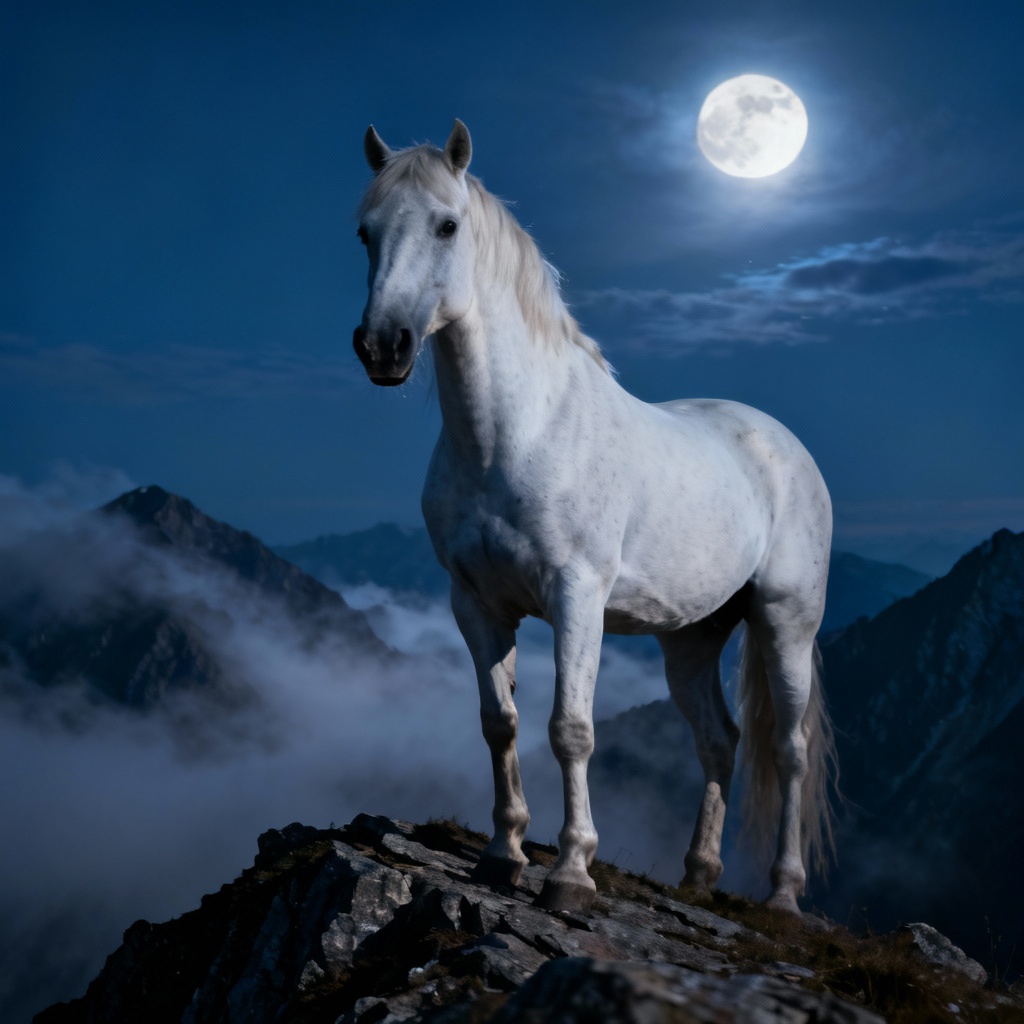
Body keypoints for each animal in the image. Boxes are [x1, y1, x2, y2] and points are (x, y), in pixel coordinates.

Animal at [351, 119, 836, 916]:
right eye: (365, 233)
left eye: (448, 225)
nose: (382, 346)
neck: (515, 435)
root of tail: (784, 445)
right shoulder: (474, 603)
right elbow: (499, 722)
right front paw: (503, 852)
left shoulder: (576, 596)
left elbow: (570, 729)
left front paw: (571, 871)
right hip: (691, 638)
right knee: (720, 739)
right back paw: (698, 873)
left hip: (784, 620)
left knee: (787, 750)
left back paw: (784, 896)